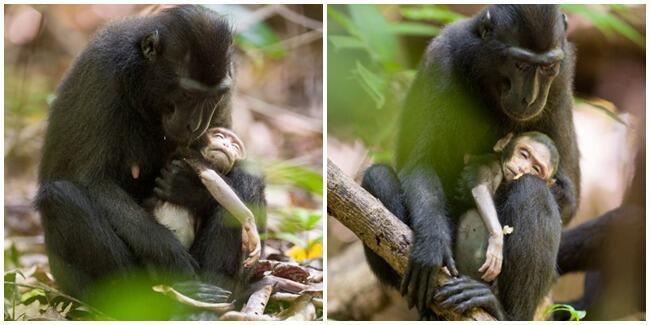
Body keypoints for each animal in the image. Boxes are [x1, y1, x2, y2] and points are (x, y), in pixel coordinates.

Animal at [144, 127, 260, 268]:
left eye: (235, 146)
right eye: (219, 136)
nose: (226, 145)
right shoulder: (193, 155)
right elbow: (210, 176)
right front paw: (249, 222)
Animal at [456, 131, 556, 280]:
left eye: (535, 168)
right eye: (524, 155)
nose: (522, 168)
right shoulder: (495, 166)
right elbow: (482, 184)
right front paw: (497, 238)